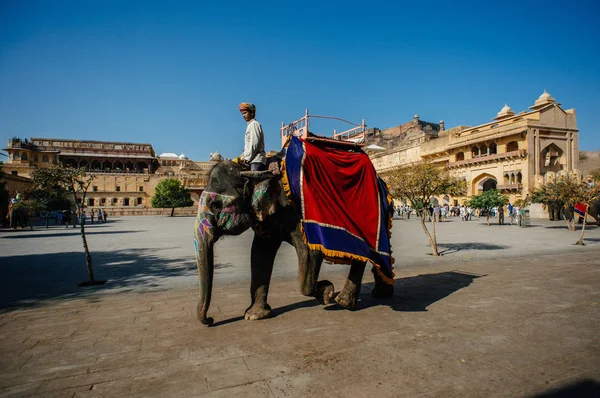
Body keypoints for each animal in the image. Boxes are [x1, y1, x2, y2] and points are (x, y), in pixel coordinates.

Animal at [192, 159, 396, 326]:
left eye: (216, 206)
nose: (211, 320)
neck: (253, 170)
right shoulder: (269, 217)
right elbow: (259, 253)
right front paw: (254, 315)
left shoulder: (299, 213)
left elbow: (310, 251)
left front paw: (327, 293)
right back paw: (379, 294)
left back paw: (344, 301)